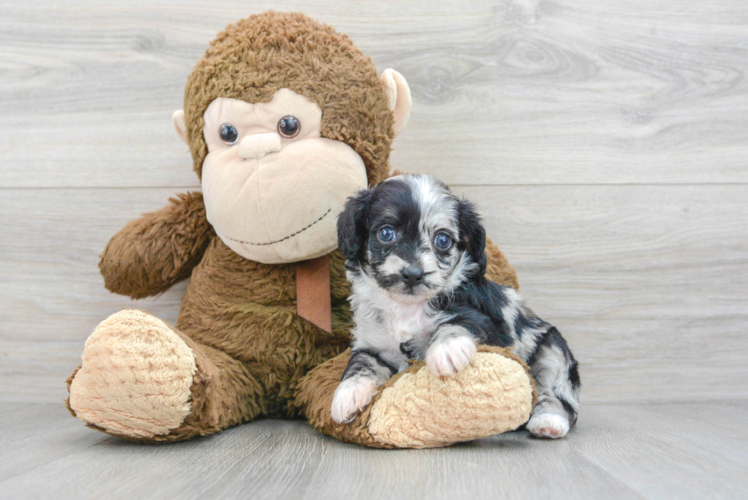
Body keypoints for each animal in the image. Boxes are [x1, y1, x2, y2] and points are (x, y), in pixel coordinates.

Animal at [334, 175, 584, 438]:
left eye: (442, 239)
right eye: (386, 233)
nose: (413, 274)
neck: (406, 307)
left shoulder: (485, 320)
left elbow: (455, 324)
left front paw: (447, 351)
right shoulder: (374, 344)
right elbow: (361, 363)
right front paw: (347, 394)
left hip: (552, 351)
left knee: (555, 392)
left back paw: (548, 421)